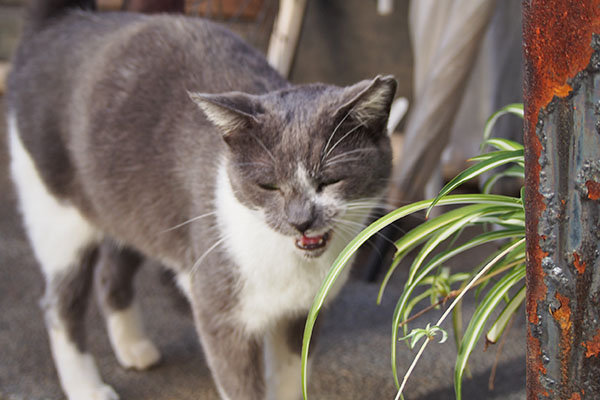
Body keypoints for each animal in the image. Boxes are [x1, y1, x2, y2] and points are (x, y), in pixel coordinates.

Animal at [5, 0, 398, 400]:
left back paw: (133, 348)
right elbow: (240, 385)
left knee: (111, 270)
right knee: (59, 305)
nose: (301, 220)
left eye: (331, 181)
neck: (290, 263)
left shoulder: (301, 315)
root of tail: (67, 20)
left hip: (133, 210)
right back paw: (86, 386)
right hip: (58, 217)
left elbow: (289, 379)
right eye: (269, 185)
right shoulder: (221, 315)